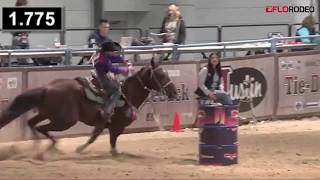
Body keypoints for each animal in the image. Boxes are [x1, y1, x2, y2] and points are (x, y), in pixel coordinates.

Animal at [0, 58, 178, 155]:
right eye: (161, 75)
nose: (175, 92)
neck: (127, 95)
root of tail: (47, 88)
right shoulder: (115, 126)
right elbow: (101, 138)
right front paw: (80, 149)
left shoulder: (104, 124)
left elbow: (99, 137)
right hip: (65, 121)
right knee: (41, 128)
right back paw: (49, 148)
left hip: (47, 114)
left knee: (32, 123)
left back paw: (38, 147)